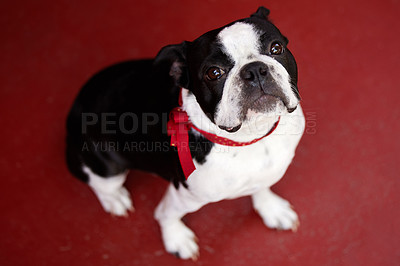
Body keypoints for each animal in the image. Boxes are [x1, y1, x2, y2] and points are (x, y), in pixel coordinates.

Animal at [65, 6, 304, 260]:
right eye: (214, 73)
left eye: (276, 48)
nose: (255, 70)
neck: (250, 137)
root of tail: (75, 107)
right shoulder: (183, 196)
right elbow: (165, 214)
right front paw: (176, 238)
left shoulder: (267, 172)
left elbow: (262, 187)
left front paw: (271, 208)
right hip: (108, 168)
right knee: (101, 183)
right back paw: (115, 199)